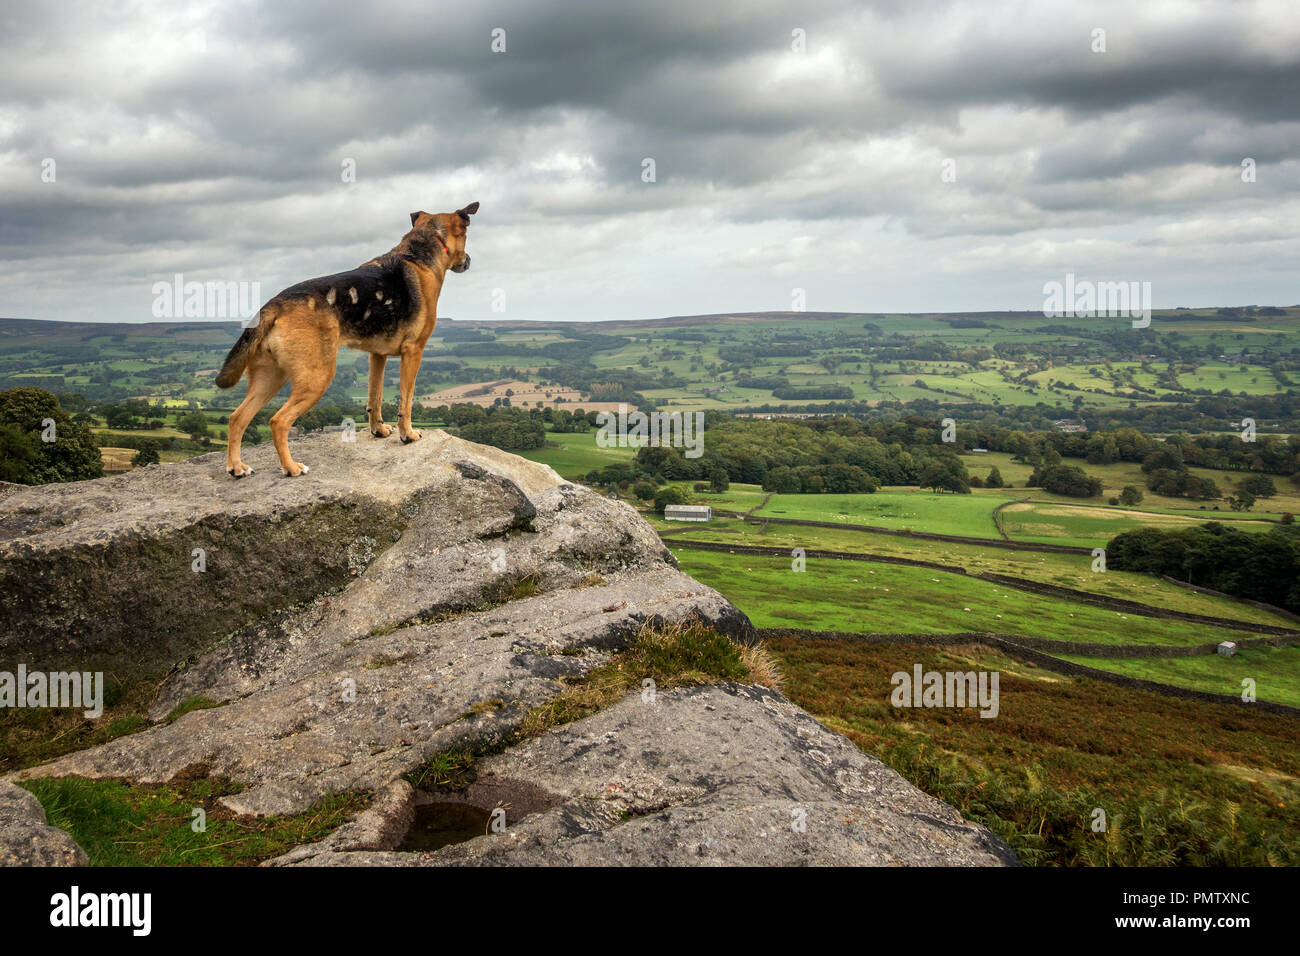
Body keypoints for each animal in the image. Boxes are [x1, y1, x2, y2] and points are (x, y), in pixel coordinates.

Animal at [215, 200, 480, 476]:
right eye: (466, 235)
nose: (469, 260)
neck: (418, 252)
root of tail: (275, 304)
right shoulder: (413, 351)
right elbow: (406, 401)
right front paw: (407, 435)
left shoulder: (377, 355)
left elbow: (375, 397)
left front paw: (378, 430)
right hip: (316, 378)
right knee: (278, 421)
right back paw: (291, 467)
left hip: (270, 378)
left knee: (237, 417)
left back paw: (236, 467)